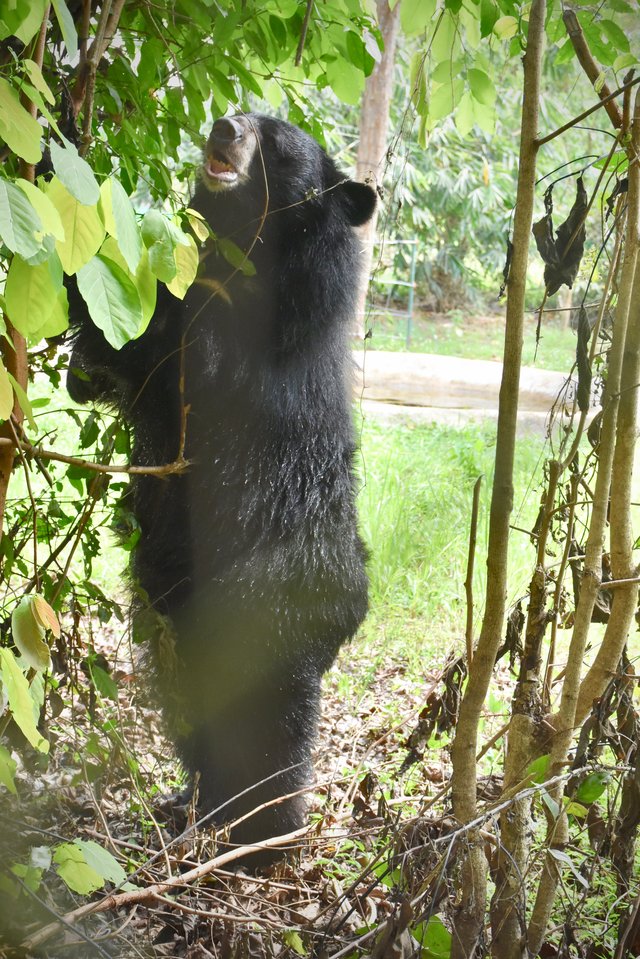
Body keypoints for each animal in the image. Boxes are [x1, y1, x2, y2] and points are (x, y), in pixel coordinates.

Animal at [66, 116, 376, 860]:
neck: (251, 256)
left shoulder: (260, 360)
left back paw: (264, 833)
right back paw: (197, 802)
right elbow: (124, 351)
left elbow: (196, 362)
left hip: (271, 608)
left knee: (271, 731)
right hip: (172, 620)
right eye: (244, 113)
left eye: (279, 144)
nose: (224, 128)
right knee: (191, 706)